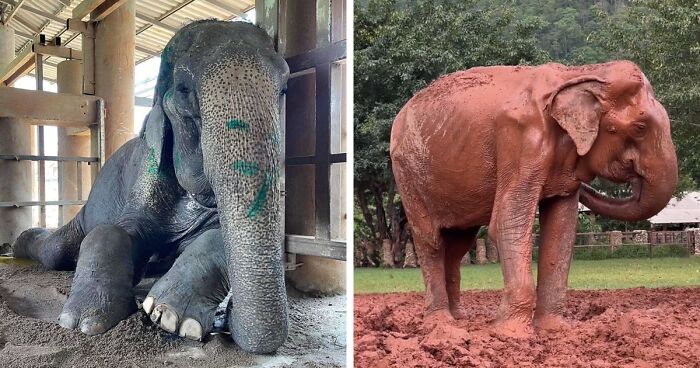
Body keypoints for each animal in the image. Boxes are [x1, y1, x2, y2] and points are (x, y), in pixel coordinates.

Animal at [11, 20, 290, 354]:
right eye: (183, 90)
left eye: (284, 89)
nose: (228, 321)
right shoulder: (147, 170)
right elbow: (113, 230)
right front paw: (84, 322)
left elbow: (219, 235)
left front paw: (171, 317)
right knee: (56, 251)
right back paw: (18, 245)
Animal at [392, 60, 676, 336]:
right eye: (640, 128)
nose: (635, 176)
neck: (581, 73)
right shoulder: (521, 140)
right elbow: (508, 221)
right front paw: (510, 334)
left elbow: (561, 231)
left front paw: (555, 330)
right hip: (407, 173)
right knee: (431, 241)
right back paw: (440, 324)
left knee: (458, 244)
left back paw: (460, 319)